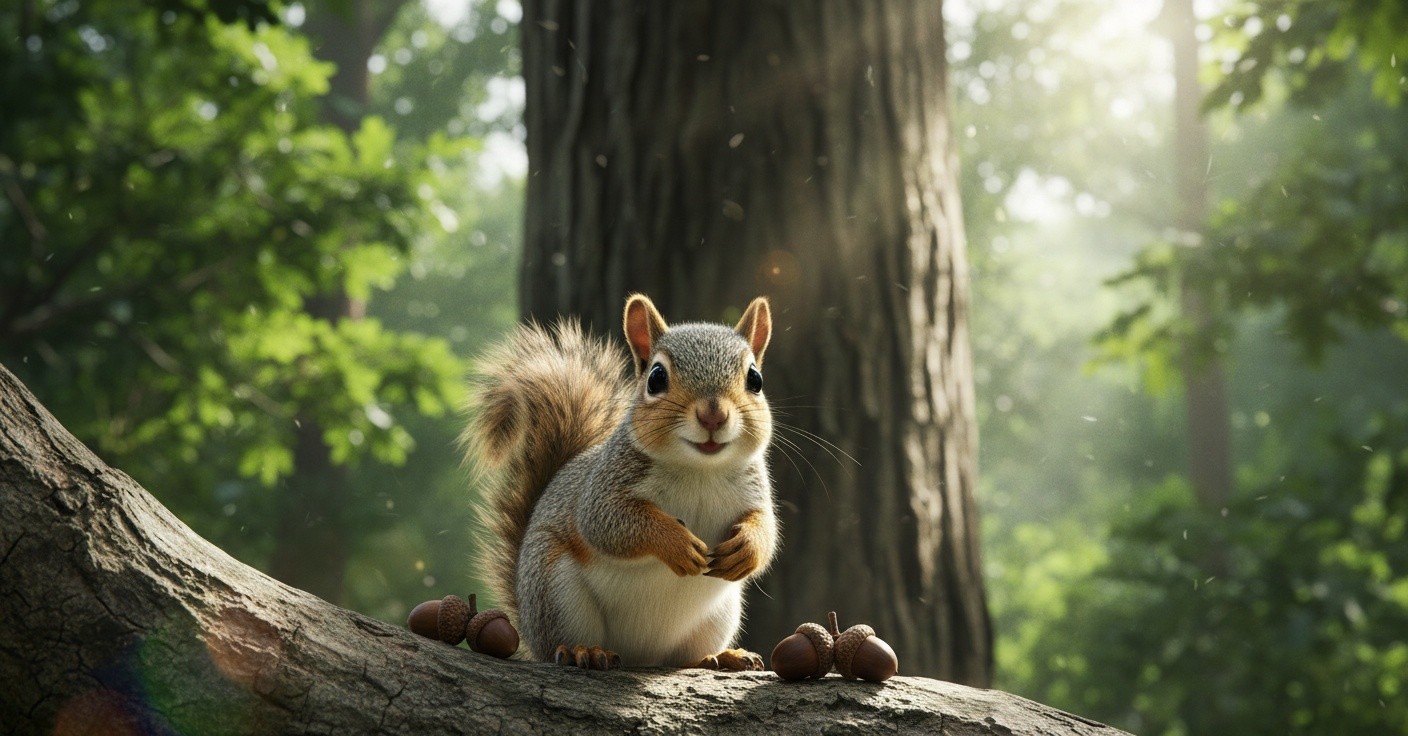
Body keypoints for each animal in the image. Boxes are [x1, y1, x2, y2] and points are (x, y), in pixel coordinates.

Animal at [462, 294, 778, 670]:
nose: (713, 415)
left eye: (755, 379)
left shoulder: (755, 491)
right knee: (561, 640)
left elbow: (766, 529)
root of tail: (642, 655)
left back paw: (719, 656)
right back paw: (583, 650)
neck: (700, 469)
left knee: (686, 658)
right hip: (555, 589)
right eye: (656, 378)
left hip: (719, 615)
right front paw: (675, 542)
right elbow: (609, 524)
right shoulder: (605, 486)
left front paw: (748, 547)